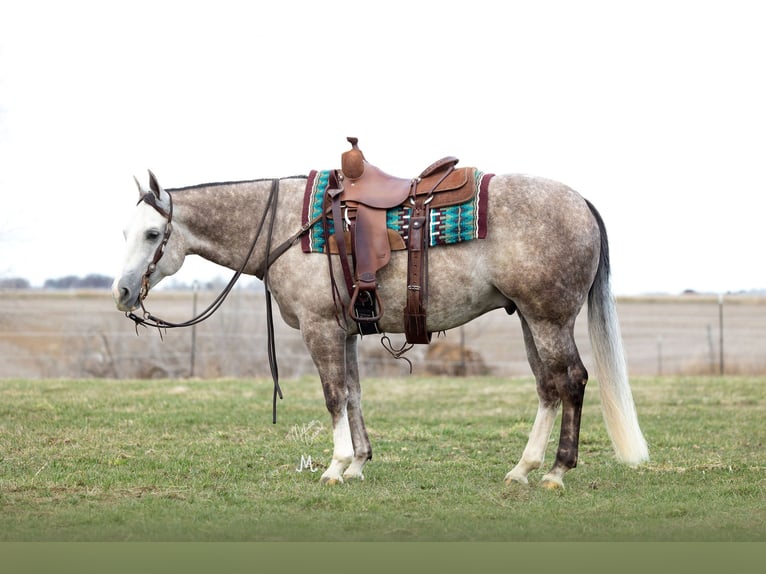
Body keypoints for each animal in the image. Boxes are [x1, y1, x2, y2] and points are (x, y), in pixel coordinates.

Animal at [114, 160, 652, 492]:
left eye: (153, 233)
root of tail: (581, 202)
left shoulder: (320, 329)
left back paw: (557, 471)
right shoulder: (346, 330)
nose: (121, 291)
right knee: (547, 387)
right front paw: (357, 462)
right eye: (126, 231)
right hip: (528, 318)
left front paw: (334, 467)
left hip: (548, 318)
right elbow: (353, 394)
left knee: (572, 381)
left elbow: (333, 396)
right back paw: (523, 468)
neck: (287, 226)